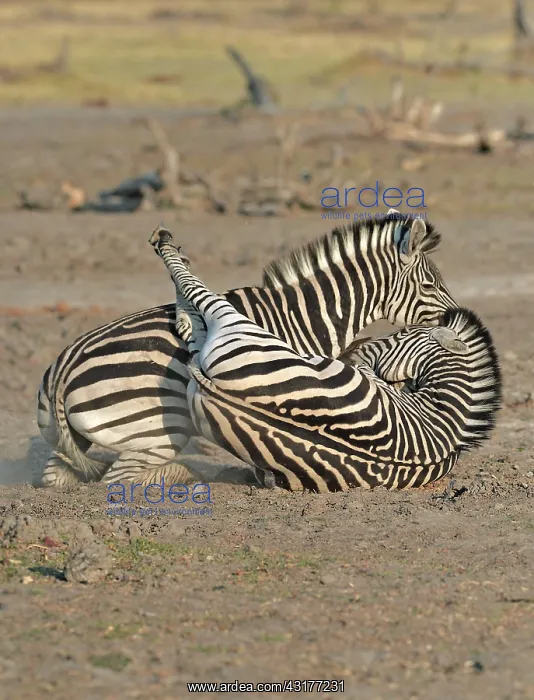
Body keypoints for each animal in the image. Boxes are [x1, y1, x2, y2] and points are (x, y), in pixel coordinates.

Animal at [37, 212, 457, 488]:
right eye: (430, 285)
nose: (457, 319)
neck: (302, 317)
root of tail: (63, 371)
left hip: (73, 439)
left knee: (58, 475)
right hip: (159, 431)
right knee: (117, 481)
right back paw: (187, 475)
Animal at [149, 226, 501, 492]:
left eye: (401, 334)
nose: (353, 352)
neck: (447, 421)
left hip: (237, 328)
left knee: (200, 304)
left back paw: (168, 255)